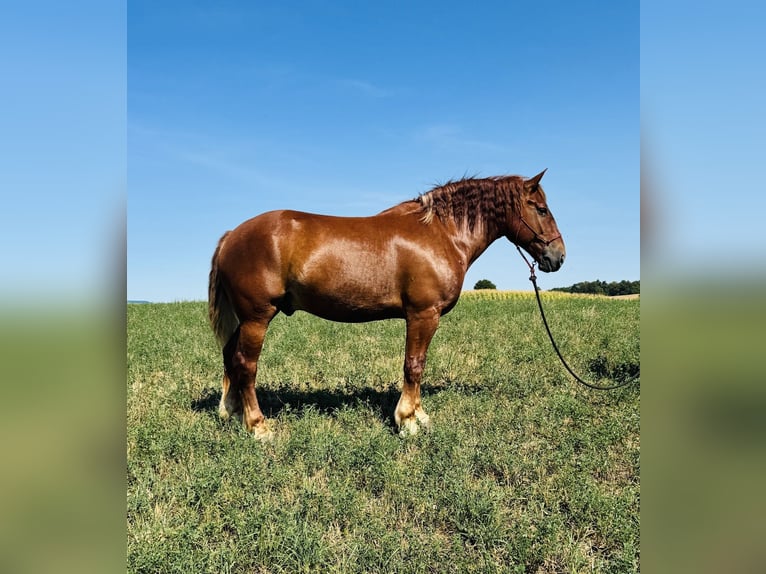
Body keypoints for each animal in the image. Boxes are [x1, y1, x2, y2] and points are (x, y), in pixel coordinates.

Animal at [208, 170, 565, 439]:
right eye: (541, 209)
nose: (558, 256)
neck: (440, 233)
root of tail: (231, 236)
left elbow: (417, 366)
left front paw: (418, 416)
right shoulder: (423, 315)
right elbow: (414, 365)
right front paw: (408, 421)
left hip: (244, 319)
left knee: (230, 358)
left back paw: (233, 413)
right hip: (257, 317)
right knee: (246, 365)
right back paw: (258, 427)